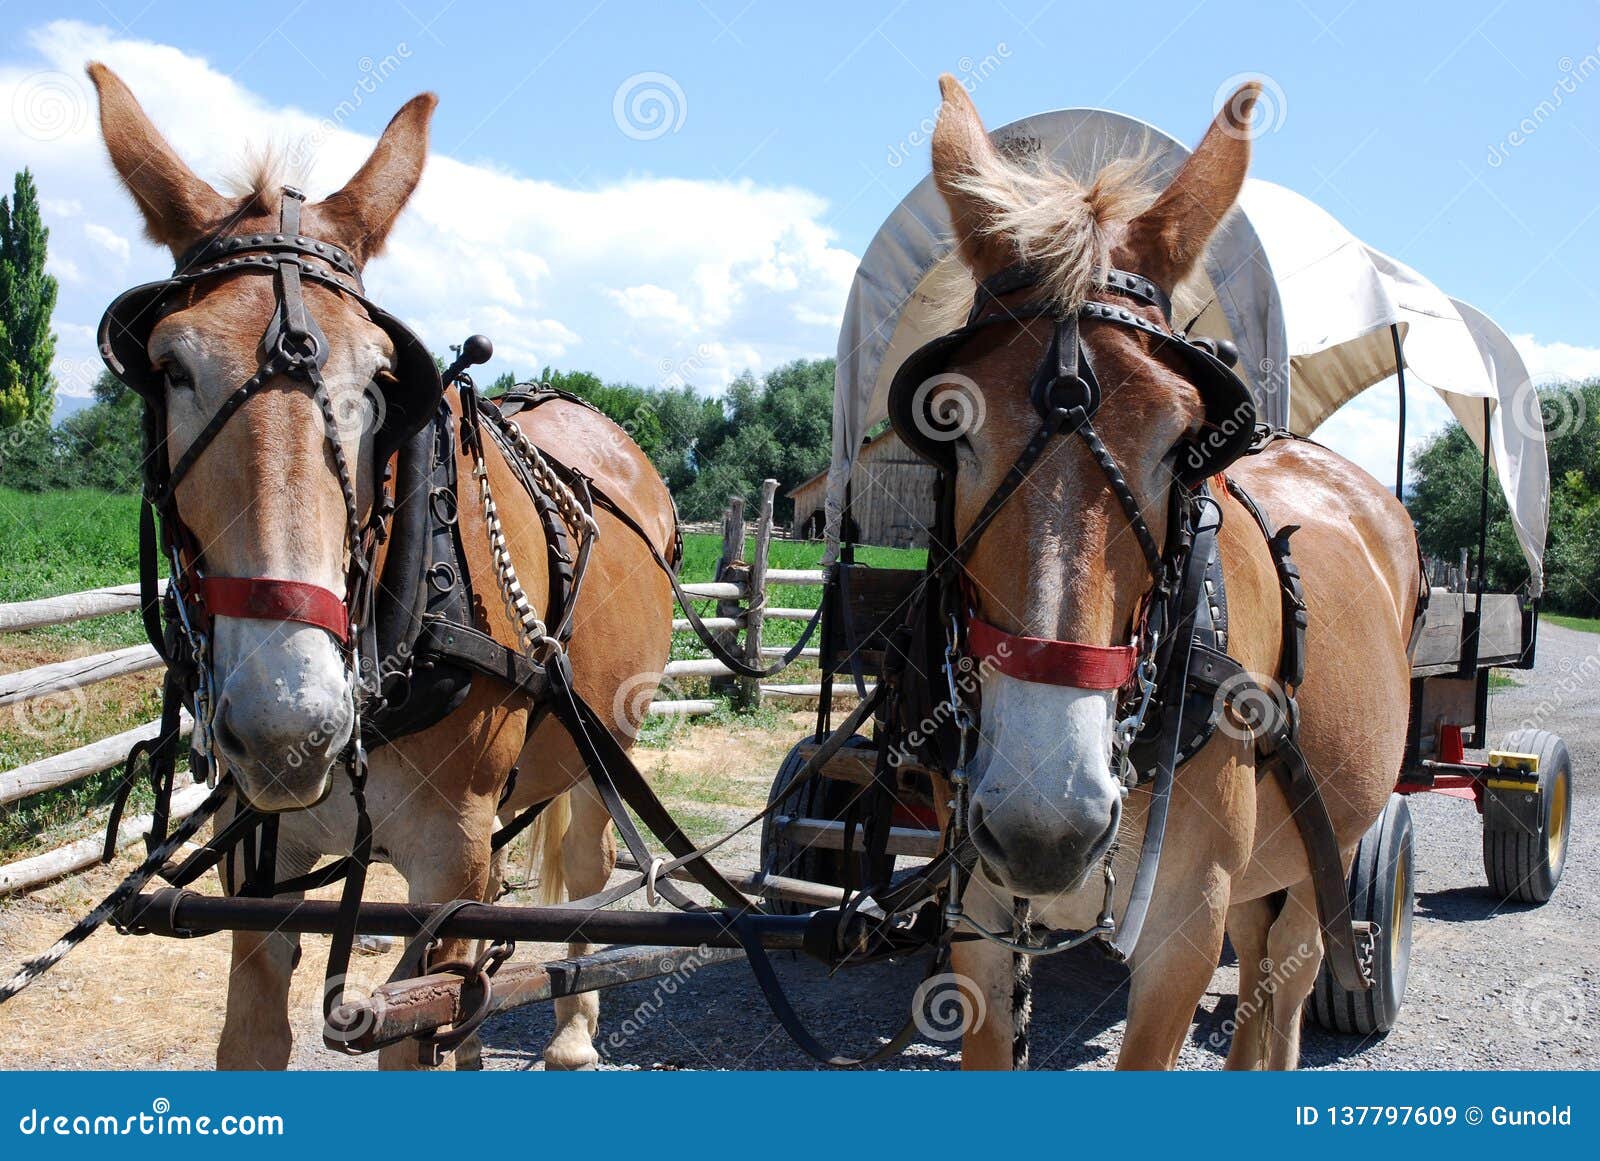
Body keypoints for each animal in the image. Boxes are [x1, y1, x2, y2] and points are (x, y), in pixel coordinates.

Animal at [89, 63, 674, 1071]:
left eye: (377, 379)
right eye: (171, 367)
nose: (290, 726)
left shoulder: (448, 858)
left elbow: (423, 1020)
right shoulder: (260, 855)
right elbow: (255, 1034)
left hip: (609, 742)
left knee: (586, 870)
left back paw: (570, 1032)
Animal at [914, 77, 1422, 1069]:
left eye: (1184, 438)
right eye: (948, 420)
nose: (1048, 822)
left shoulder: (1185, 931)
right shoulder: (981, 915)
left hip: (1329, 855)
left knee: (1287, 986)